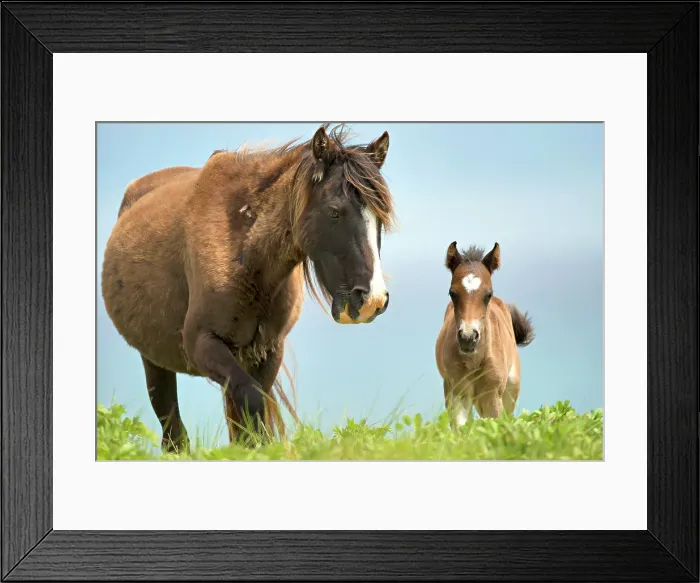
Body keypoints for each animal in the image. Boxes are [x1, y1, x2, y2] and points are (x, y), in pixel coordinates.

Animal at [101, 124, 395, 451]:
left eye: (379, 217)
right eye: (334, 211)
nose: (372, 300)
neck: (245, 251)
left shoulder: (268, 351)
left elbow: (254, 413)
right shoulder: (202, 343)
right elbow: (252, 401)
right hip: (154, 362)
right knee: (173, 433)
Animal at [435, 241, 534, 425]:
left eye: (488, 294)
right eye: (452, 293)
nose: (468, 338)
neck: (474, 361)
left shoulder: (493, 397)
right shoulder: (458, 394)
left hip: (509, 392)